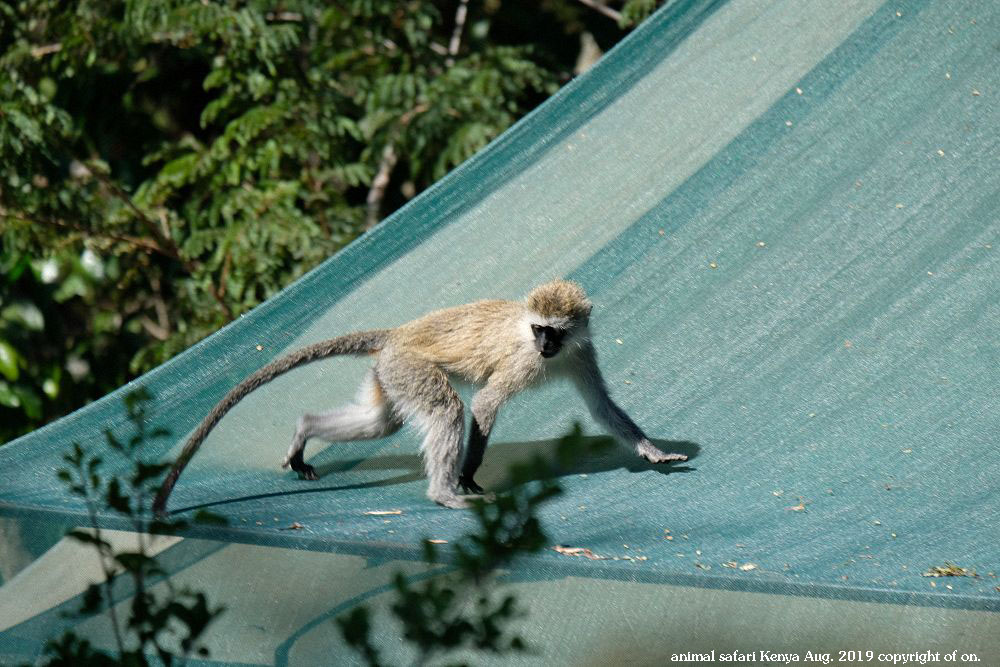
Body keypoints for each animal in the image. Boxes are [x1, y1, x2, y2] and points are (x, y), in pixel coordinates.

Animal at [152, 280, 688, 516]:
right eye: (538, 330)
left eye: (554, 331)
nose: (544, 346)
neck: (548, 352)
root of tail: (398, 334)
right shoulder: (523, 362)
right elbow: (485, 404)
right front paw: (468, 476)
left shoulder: (580, 352)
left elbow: (601, 407)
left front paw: (651, 450)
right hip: (409, 368)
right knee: (447, 410)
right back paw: (444, 493)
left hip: (388, 375)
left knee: (379, 423)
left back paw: (304, 432)